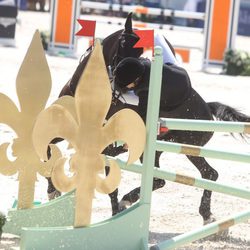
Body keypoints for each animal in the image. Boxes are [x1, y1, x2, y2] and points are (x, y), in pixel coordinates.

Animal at [48, 12, 250, 224]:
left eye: (139, 53)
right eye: (122, 44)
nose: (118, 85)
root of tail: (207, 107)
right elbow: (48, 148)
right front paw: (53, 190)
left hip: (184, 145)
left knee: (186, 176)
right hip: (171, 149)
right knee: (194, 175)